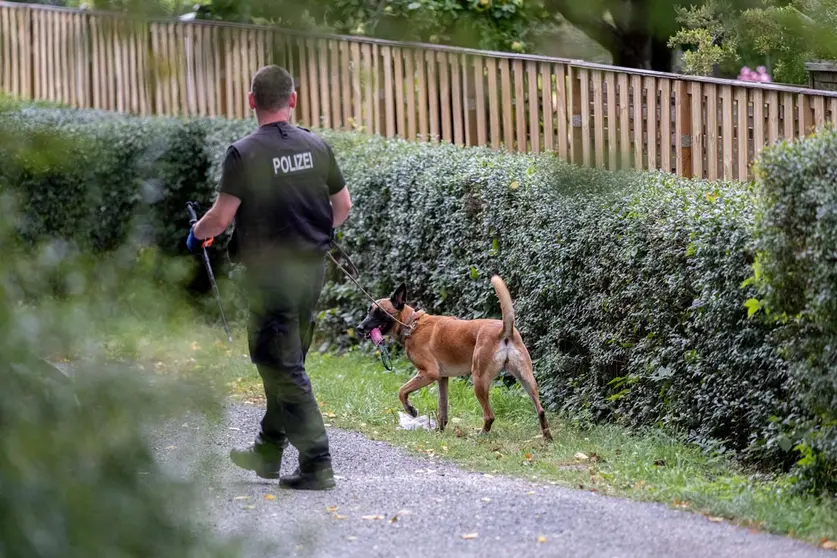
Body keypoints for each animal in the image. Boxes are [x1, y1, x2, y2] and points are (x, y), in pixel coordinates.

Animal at [356, 278, 552, 444]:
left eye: (379, 313)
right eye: (368, 311)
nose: (359, 328)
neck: (412, 324)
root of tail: (504, 330)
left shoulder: (428, 373)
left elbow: (402, 391)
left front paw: (411, 410)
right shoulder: (442, 379)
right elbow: (442, 410)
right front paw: (439, 431)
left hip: (479, 380)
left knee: (489, 416)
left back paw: (480, 435)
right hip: (526, 379)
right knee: (541, 410)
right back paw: (547, 438)